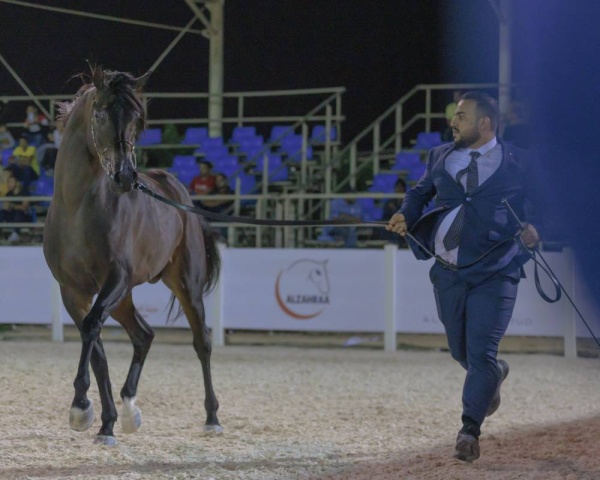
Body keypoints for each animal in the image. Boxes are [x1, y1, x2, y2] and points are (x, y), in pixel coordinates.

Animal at [42, 65, 223, 444]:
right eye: (99, 114)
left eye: (138, 120)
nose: (125, 177)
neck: (77, 208)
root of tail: (176, 189)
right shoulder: (73, 291)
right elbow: (96, 347)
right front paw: (104, 422)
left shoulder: (115, 279)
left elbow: (92, 328)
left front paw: (80, 407)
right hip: (124, 297)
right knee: (144, 335)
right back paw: (128, 411)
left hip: (184, 284)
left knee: (202, 341)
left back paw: (212, 417)